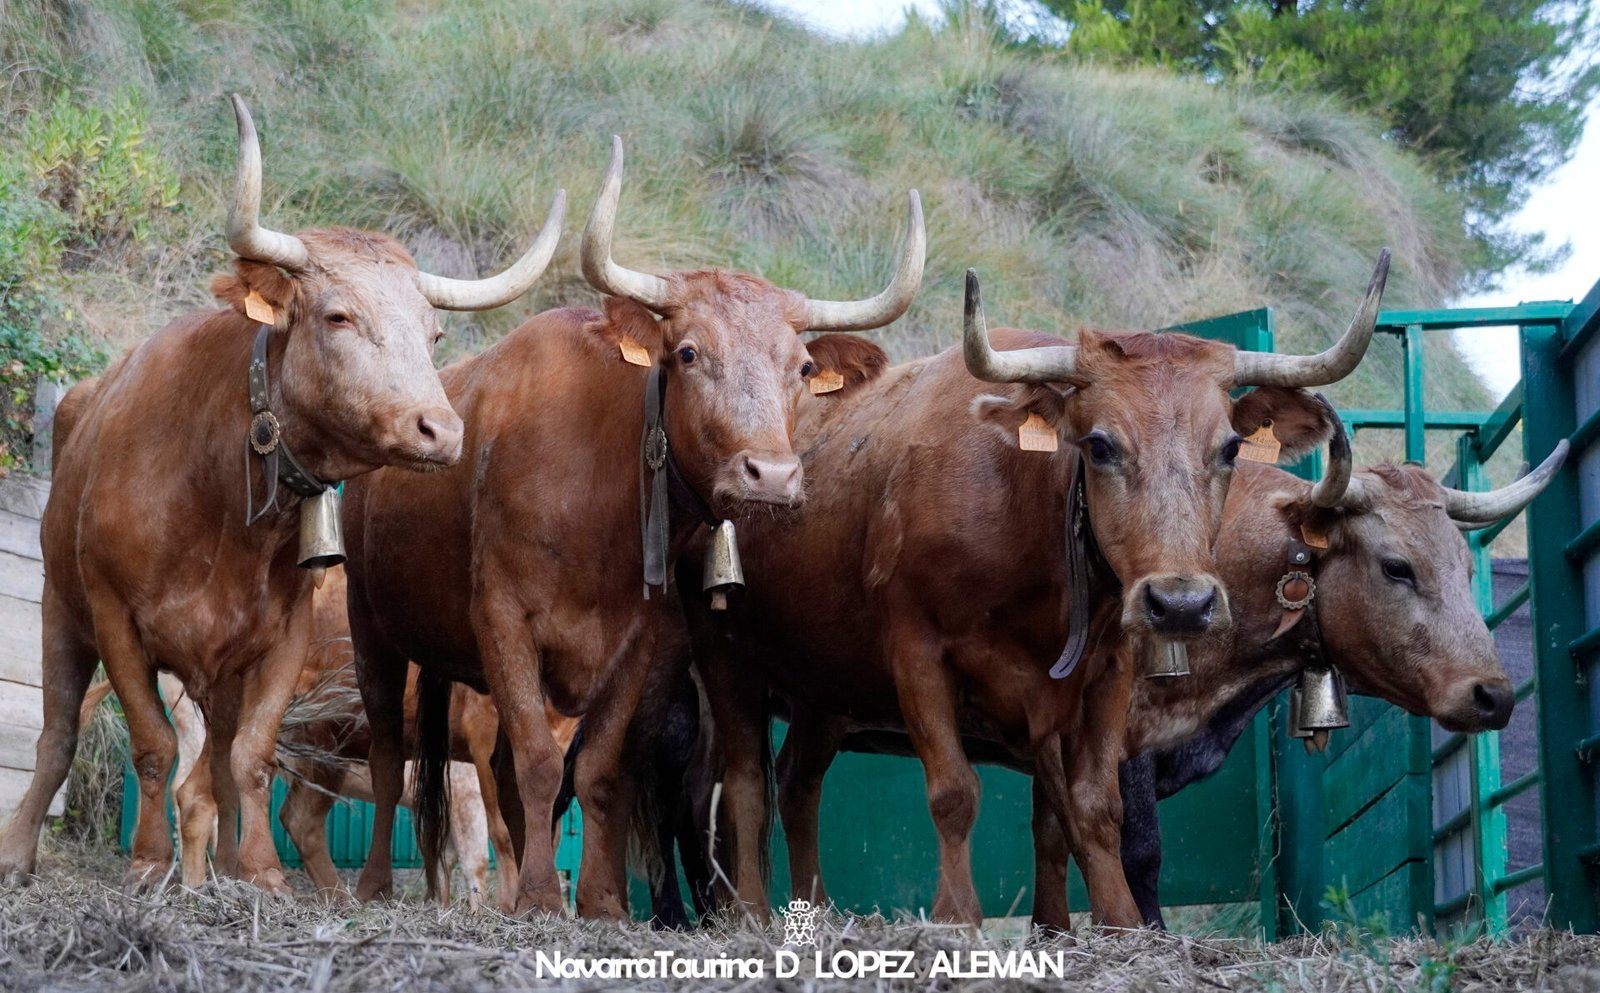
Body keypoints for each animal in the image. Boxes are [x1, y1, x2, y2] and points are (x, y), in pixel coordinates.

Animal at [0, 98, 563, 889]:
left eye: (434, 334)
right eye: (337, 315)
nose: (440, 429)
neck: (215, 504)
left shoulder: (281, 638)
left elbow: (252, 757)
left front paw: (262, 874)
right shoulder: (115, 618)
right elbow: (149, 745)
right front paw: (146, 862)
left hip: (219, 676)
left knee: (215, 773)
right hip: (63, 610)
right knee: (59, 737)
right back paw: (19, 852)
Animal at [348, 135, 928, 914]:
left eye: (804, 366)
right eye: (688, 352)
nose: (772, 475)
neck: (601, 502)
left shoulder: (638, 646)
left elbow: (596, 770)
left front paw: (598, 901)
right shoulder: (502, 622)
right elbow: (539, 761)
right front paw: (541, 898)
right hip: (371, 627)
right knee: (388, 751)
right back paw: (375, 884)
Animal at [688, 259, 1388, 927]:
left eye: (1231, 447)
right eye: (1099, 444)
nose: (1181, 604)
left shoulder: (1108, 673)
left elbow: (1095, 809)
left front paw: (1121, 926)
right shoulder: (916, 653)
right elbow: (954, 793)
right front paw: (956, 922)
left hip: (823, 690)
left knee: (798, 785)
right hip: (727, 662)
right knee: (744, 786)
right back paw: (748, 916)